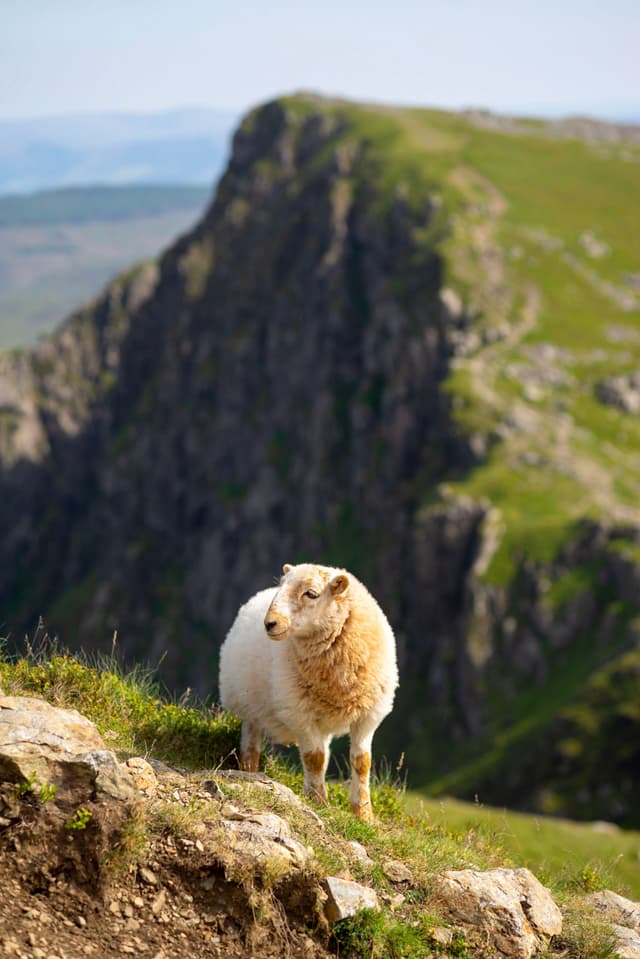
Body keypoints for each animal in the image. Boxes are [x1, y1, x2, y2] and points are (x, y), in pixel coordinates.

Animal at [219, 562, 399, 821]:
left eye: (311, 594)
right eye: (282, 586)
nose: (270, 623)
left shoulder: (369, 715)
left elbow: (361, 761)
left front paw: (364, 814)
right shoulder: (298, 713)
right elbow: (314, 759)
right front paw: (319, 803)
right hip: (249, 706)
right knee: (251, 744)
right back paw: (250, 772)